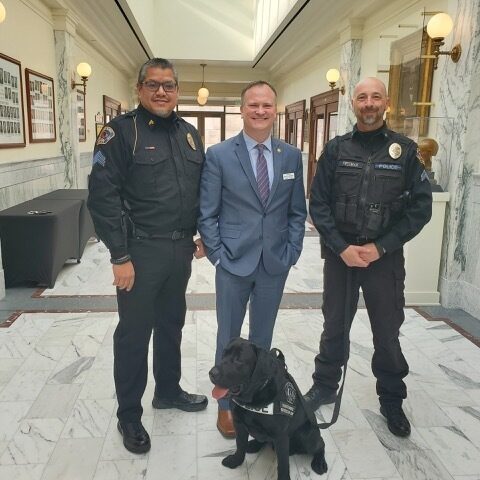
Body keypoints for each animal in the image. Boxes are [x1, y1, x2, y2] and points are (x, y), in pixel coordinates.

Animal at [209, 338, 326, 480]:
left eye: (239, 360)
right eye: (224, 354)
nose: (211, 373)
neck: (253, 398)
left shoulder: (281, 437)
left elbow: (283, 464)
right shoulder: (239, 424)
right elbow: (240, 445)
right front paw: (236, 461)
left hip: (307, 437)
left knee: (321, 444)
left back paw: (319, 463)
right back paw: (253, 444)